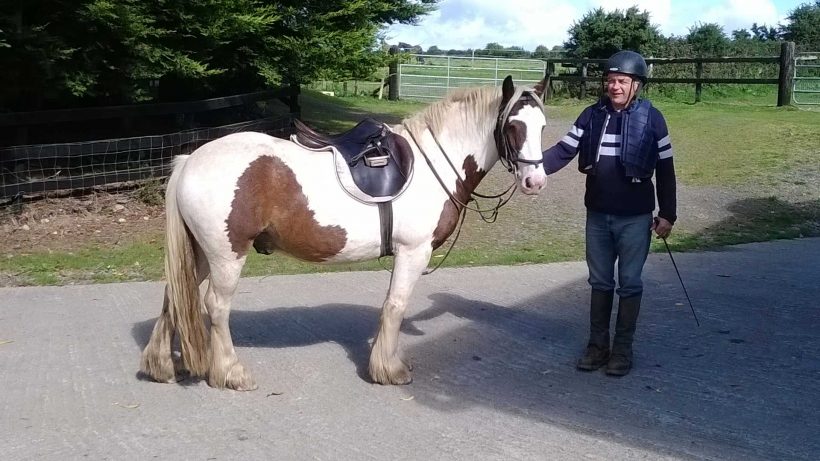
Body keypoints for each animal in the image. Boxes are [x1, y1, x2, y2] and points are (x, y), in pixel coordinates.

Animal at [140, 75, 548, 390]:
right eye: (513, 127)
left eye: (542, 127)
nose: (535, 181)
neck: (433, 161)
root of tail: (190, 160)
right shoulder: (413, 252)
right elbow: (395, 306)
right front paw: (389, 370)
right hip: (227, 255)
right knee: (216, 307)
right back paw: (231, 373)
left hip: (200, 253)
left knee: (174, 295)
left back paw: (161, 366)